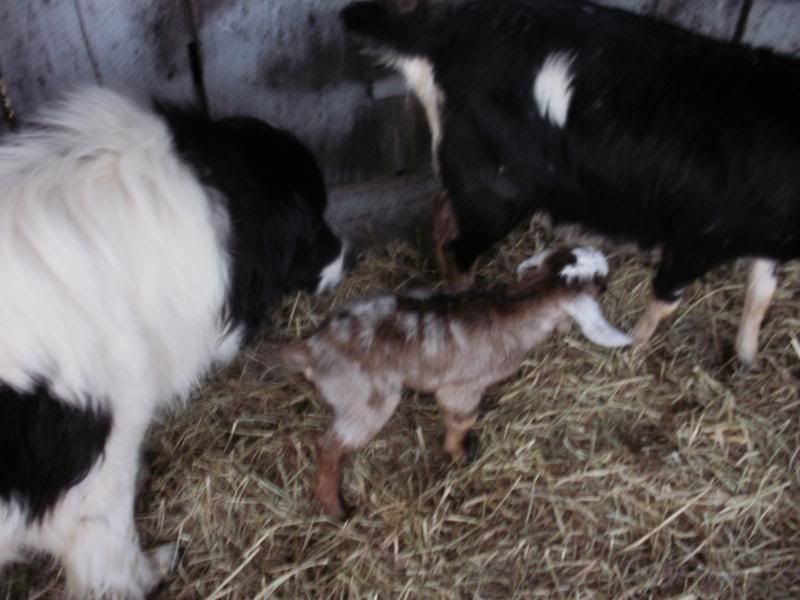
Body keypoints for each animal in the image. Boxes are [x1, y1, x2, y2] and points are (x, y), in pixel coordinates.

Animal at [275, 246, 629, 518]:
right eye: (599, 280)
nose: (608, 279)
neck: (514, 307)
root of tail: (313, 348)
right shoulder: (463, 387)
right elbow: (462, 419)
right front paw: (460, 453)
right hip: (366, 400)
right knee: (328, 445)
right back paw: (336, 508)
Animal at [341, 0, 800, 366]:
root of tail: (441, 41)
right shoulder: (698, 238)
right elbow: (665, 299)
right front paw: (635, 347)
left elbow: (761, 293)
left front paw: (747, 359)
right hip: (497, 190)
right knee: (460, 247)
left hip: (472, 175)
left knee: (442, 210)